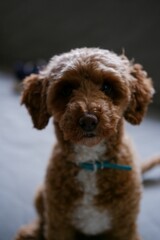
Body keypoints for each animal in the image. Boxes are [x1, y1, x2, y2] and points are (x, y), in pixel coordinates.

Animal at [15, 47, 159, 240]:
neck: (91, 163)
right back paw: (31, 231)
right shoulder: (59, 224)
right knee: (41, 218)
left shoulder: (124, 226)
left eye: (107, 87)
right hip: (41, 195)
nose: (88, 120)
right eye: (66, 90)